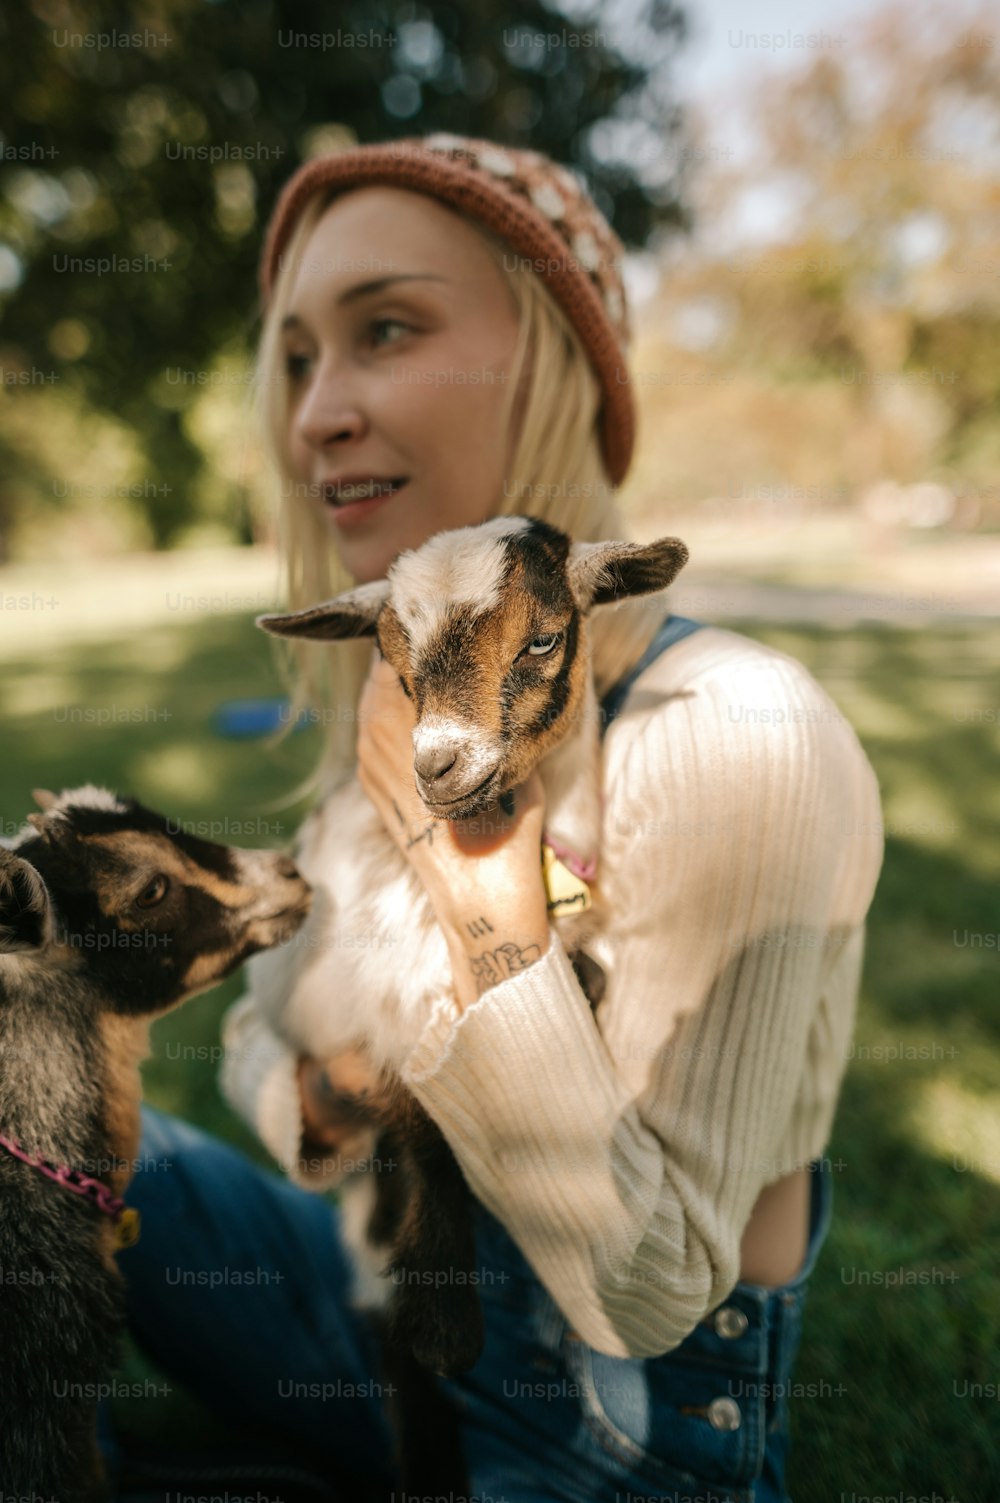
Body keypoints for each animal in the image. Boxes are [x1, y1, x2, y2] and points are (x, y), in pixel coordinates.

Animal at [251, 514, 685, 1376]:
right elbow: (423, 1127)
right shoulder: (374, 1014)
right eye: (394, 661)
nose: (437, 765)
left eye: (544, 639)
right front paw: (442, 1322)